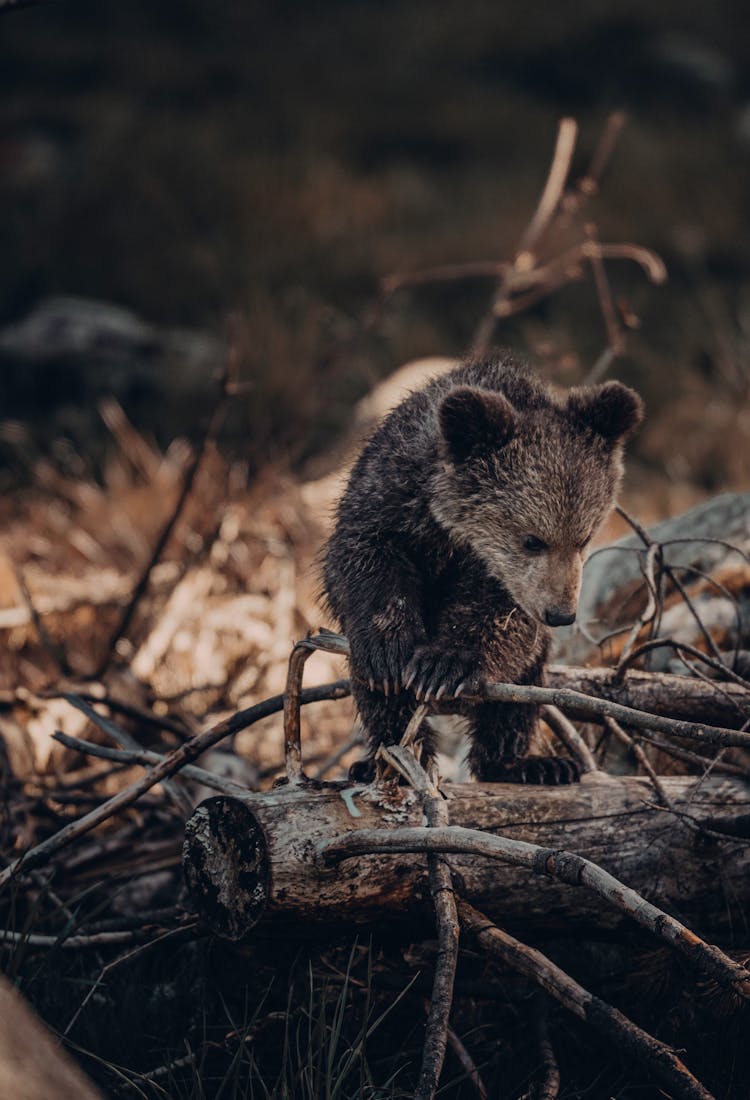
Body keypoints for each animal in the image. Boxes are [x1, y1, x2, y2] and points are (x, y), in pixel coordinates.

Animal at [323, 354, 642, 783]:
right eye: (532, 539)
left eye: (585, 537)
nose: (560, 613)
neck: (454, 531)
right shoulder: (387, 500)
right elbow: (361, 563)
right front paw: (388, 651)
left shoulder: (506, 585)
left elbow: (499, 620)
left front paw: (444, 665)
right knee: (380, 702)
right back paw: (386, 759)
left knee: (517, 696)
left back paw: (527, 764)